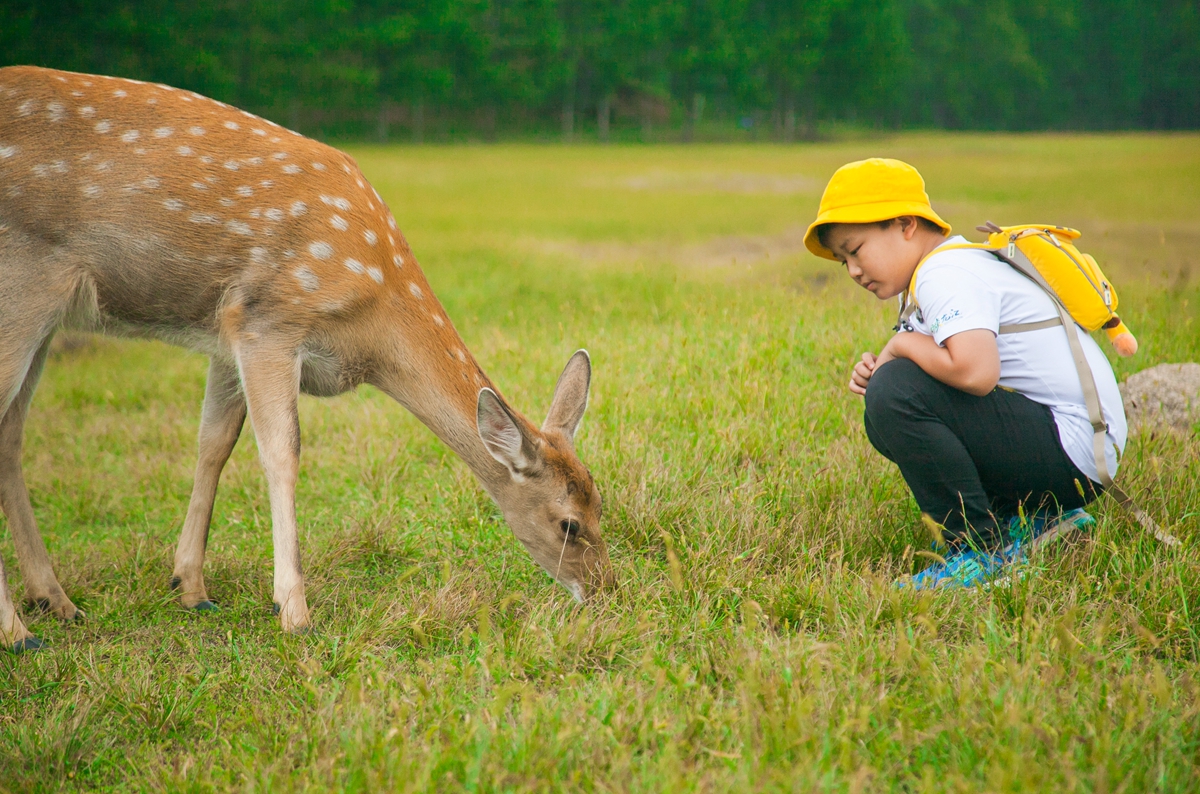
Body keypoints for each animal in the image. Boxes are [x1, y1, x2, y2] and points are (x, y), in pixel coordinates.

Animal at [0, 66, 614, 652]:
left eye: (600, 501)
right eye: (569, 524)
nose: (605, 589)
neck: (370, 330)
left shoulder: (226, 331)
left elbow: (214, 443)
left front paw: (190, 587)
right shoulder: (270, 320)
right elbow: (282, 452)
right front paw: (293, 611)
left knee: (12, 433)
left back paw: (55, 599)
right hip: (26, 283)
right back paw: (19, 631)